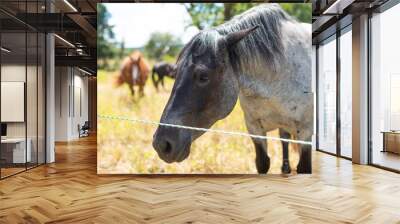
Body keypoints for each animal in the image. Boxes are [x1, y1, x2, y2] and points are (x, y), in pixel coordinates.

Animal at [153, 4, 312, 174]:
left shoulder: (306, 133)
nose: (162, 145)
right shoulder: (255, 129)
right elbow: (262, 163)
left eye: (203, 77)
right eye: (175, 73)